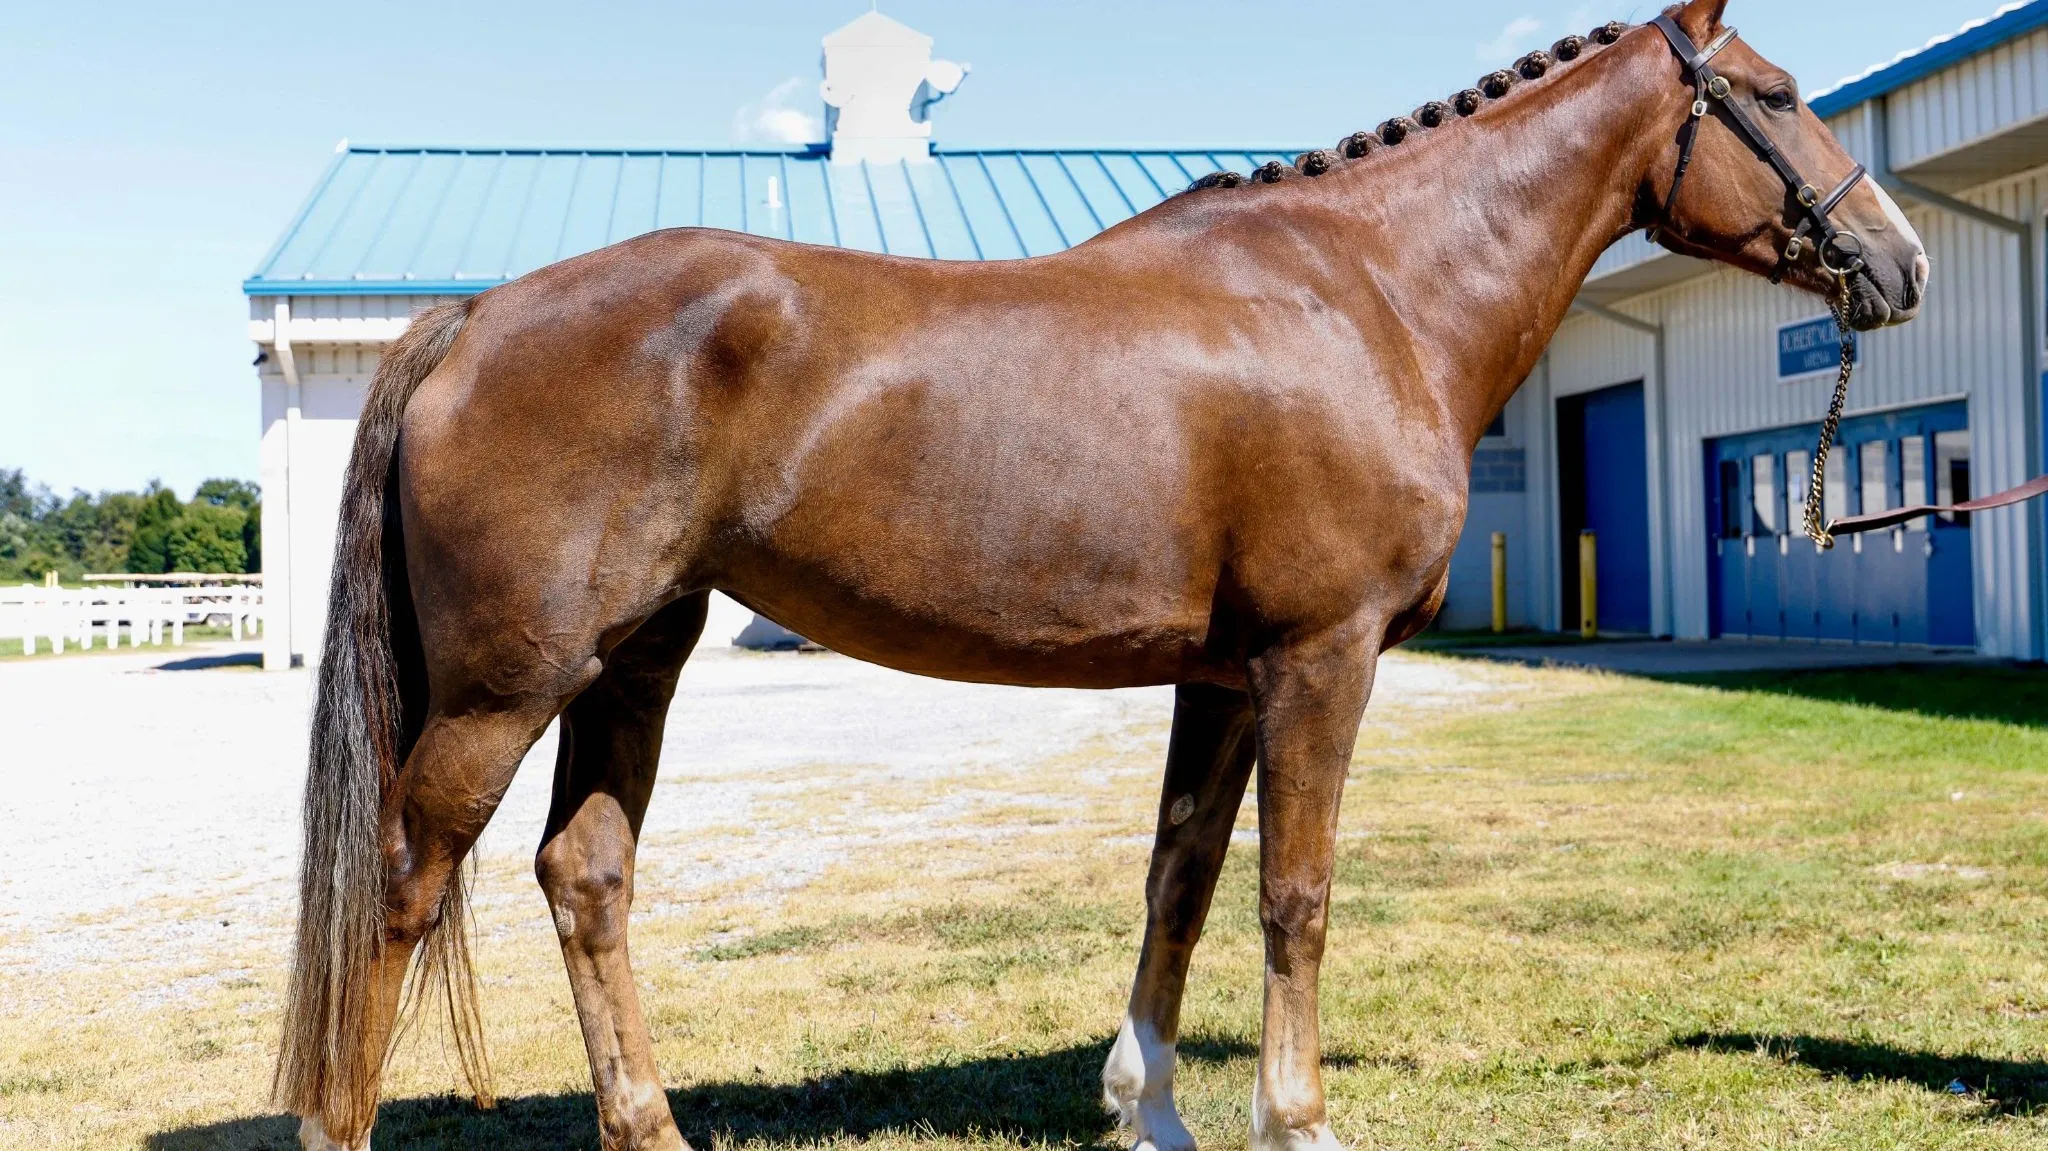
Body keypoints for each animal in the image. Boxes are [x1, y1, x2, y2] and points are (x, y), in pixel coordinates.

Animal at [275, 2, 1927, 1147]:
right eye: (1779, 97)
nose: (1898, 262)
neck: (1364, 294)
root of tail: (476, 311)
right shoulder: (1320, 657)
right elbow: (1296, 889)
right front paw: (1297, 1116)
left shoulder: (1223, 677)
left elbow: (1180, 878)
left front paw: (1158, 1104)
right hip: (510, 683)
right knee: (407, 876)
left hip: (638, 654)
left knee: (587, 870)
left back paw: (654, 1122)